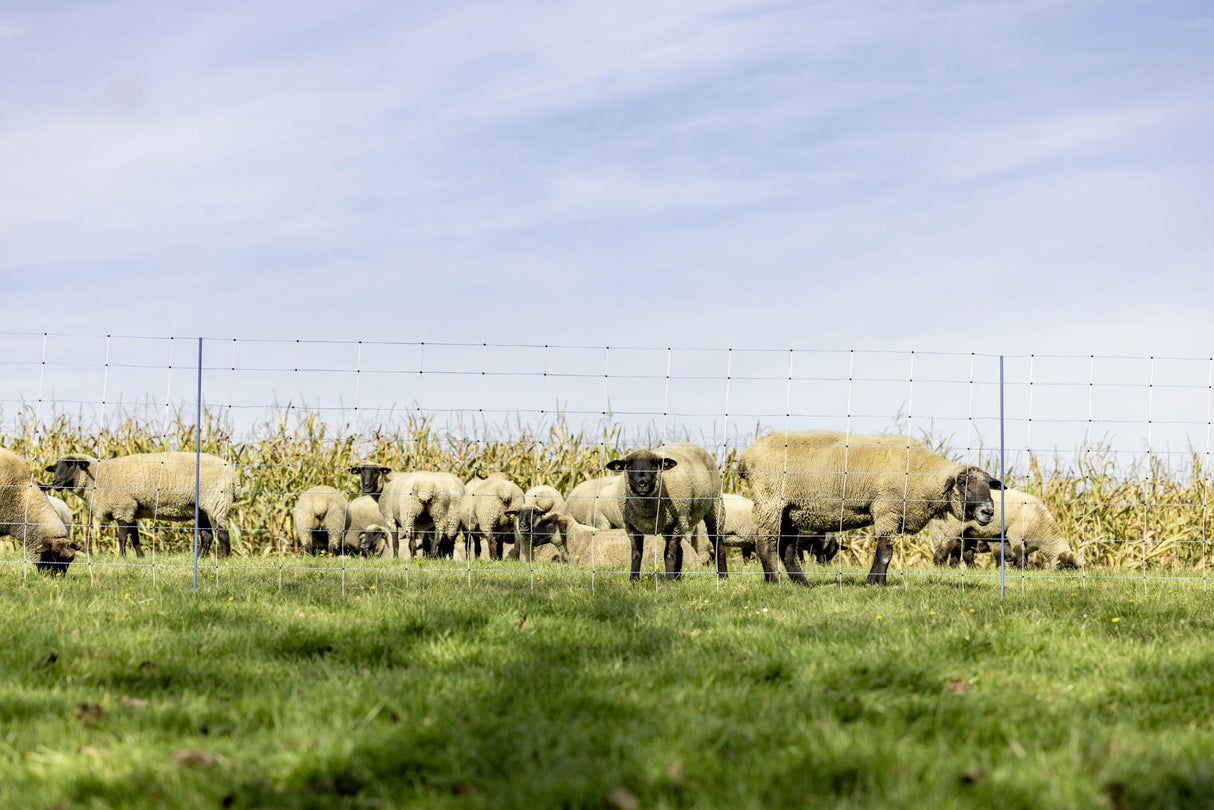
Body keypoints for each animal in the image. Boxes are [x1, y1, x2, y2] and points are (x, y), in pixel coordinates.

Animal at [46, 449, 239, 558]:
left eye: (71, 465)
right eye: (56, 467)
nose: (54, 482)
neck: (100, 476)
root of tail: (234, 476)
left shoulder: (123, 507)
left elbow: (123, 536)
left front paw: (122, 557)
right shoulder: (131, 508)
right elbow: (135, 536)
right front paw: (140, 557)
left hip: (215, 501)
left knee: (222, 533)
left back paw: (225, 559)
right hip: (203, 508)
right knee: (207, 536)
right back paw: (200, 558)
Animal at [604, 444, 723, 582]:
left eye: (654, 464)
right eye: (628, 465)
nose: (642, 483)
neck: (646, 512)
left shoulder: (676, 523)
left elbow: (669, 554)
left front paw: (668, 582)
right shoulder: (631, 526)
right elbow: (636, 554)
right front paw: (633, 580)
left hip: (714, 504)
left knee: (717, 539)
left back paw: (723, 576)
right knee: (680, 548)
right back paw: (678, 578)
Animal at [733, 429, 1000, 590]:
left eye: (989, 485)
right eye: (963, 484)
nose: (988, 511)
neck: (920, 475)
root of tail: (745, 456)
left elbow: (887, 551)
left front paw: (879, 582)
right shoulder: (886, 509)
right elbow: (885, 551)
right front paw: (874, 583)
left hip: (791, 509)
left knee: (787, 548)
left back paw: (802, 584)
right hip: (769, 499)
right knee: (765, 542)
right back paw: (773, 582)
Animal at [927, 488, 1082, 570]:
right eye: (1067, 566)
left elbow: (1022, 554)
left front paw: (1018, 568)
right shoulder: (1014, 533)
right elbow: (1019, 553)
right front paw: (1021, 569)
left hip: (969, 532)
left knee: (964, 553)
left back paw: (968, 568)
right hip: (951, 528)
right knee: (945, 547)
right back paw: (938, 565)